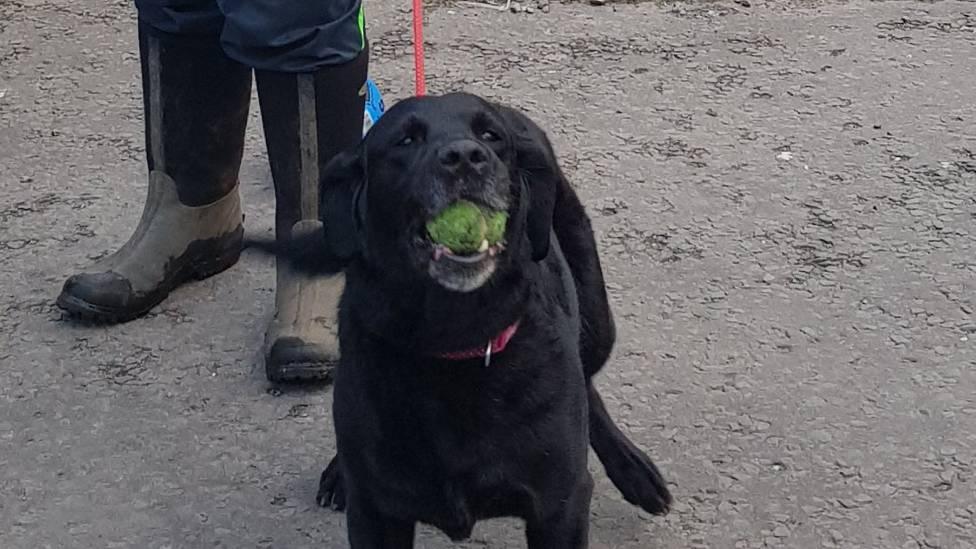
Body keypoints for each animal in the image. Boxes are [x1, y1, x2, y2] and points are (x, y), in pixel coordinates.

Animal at [244, 92, 672, 544]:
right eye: (405, 140)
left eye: (491, 136)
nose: (466, 157)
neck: (452, 341)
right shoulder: (375, 514)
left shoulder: (559, 508)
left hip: (596, 320)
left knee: (588, 384)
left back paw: (634, 469)